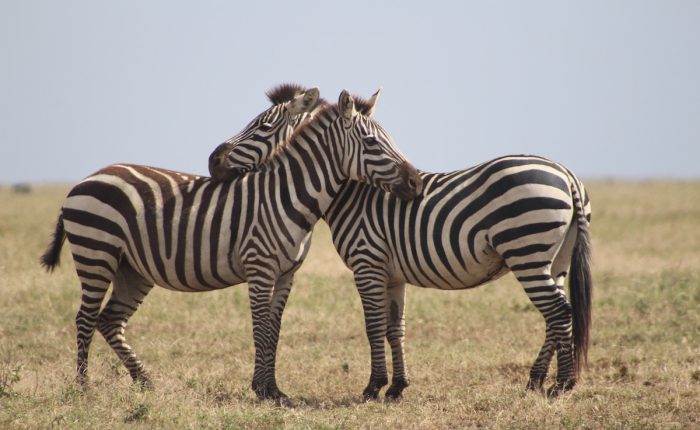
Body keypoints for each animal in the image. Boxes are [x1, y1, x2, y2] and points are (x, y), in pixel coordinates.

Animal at [41, 88, 424, 404]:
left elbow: (274, 330)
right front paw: (262, 390)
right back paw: (84, 388)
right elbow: (260, 329)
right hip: (95, 253)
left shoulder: (286, 275)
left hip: (131, 269)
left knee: (109, 321)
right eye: (373, 144)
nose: (415, 182)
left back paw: (145, 381)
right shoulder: (259, 268)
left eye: (263, 126)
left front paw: (275, 391)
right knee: (85, 318)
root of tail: (85, 180)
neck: (287, 195)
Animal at [206, 95, 592, 400]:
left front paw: (373, 387)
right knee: (557, 315)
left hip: (527, 251)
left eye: (262, 128)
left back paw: (562, 385)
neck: (354, 192)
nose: (213, 161)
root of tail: (567, 173)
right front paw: (396, 388)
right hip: (554, 260)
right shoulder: (393, 274)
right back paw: (536, 380)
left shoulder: (367, 263)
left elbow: (373, 326)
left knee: (559, 313)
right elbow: (395, 328)